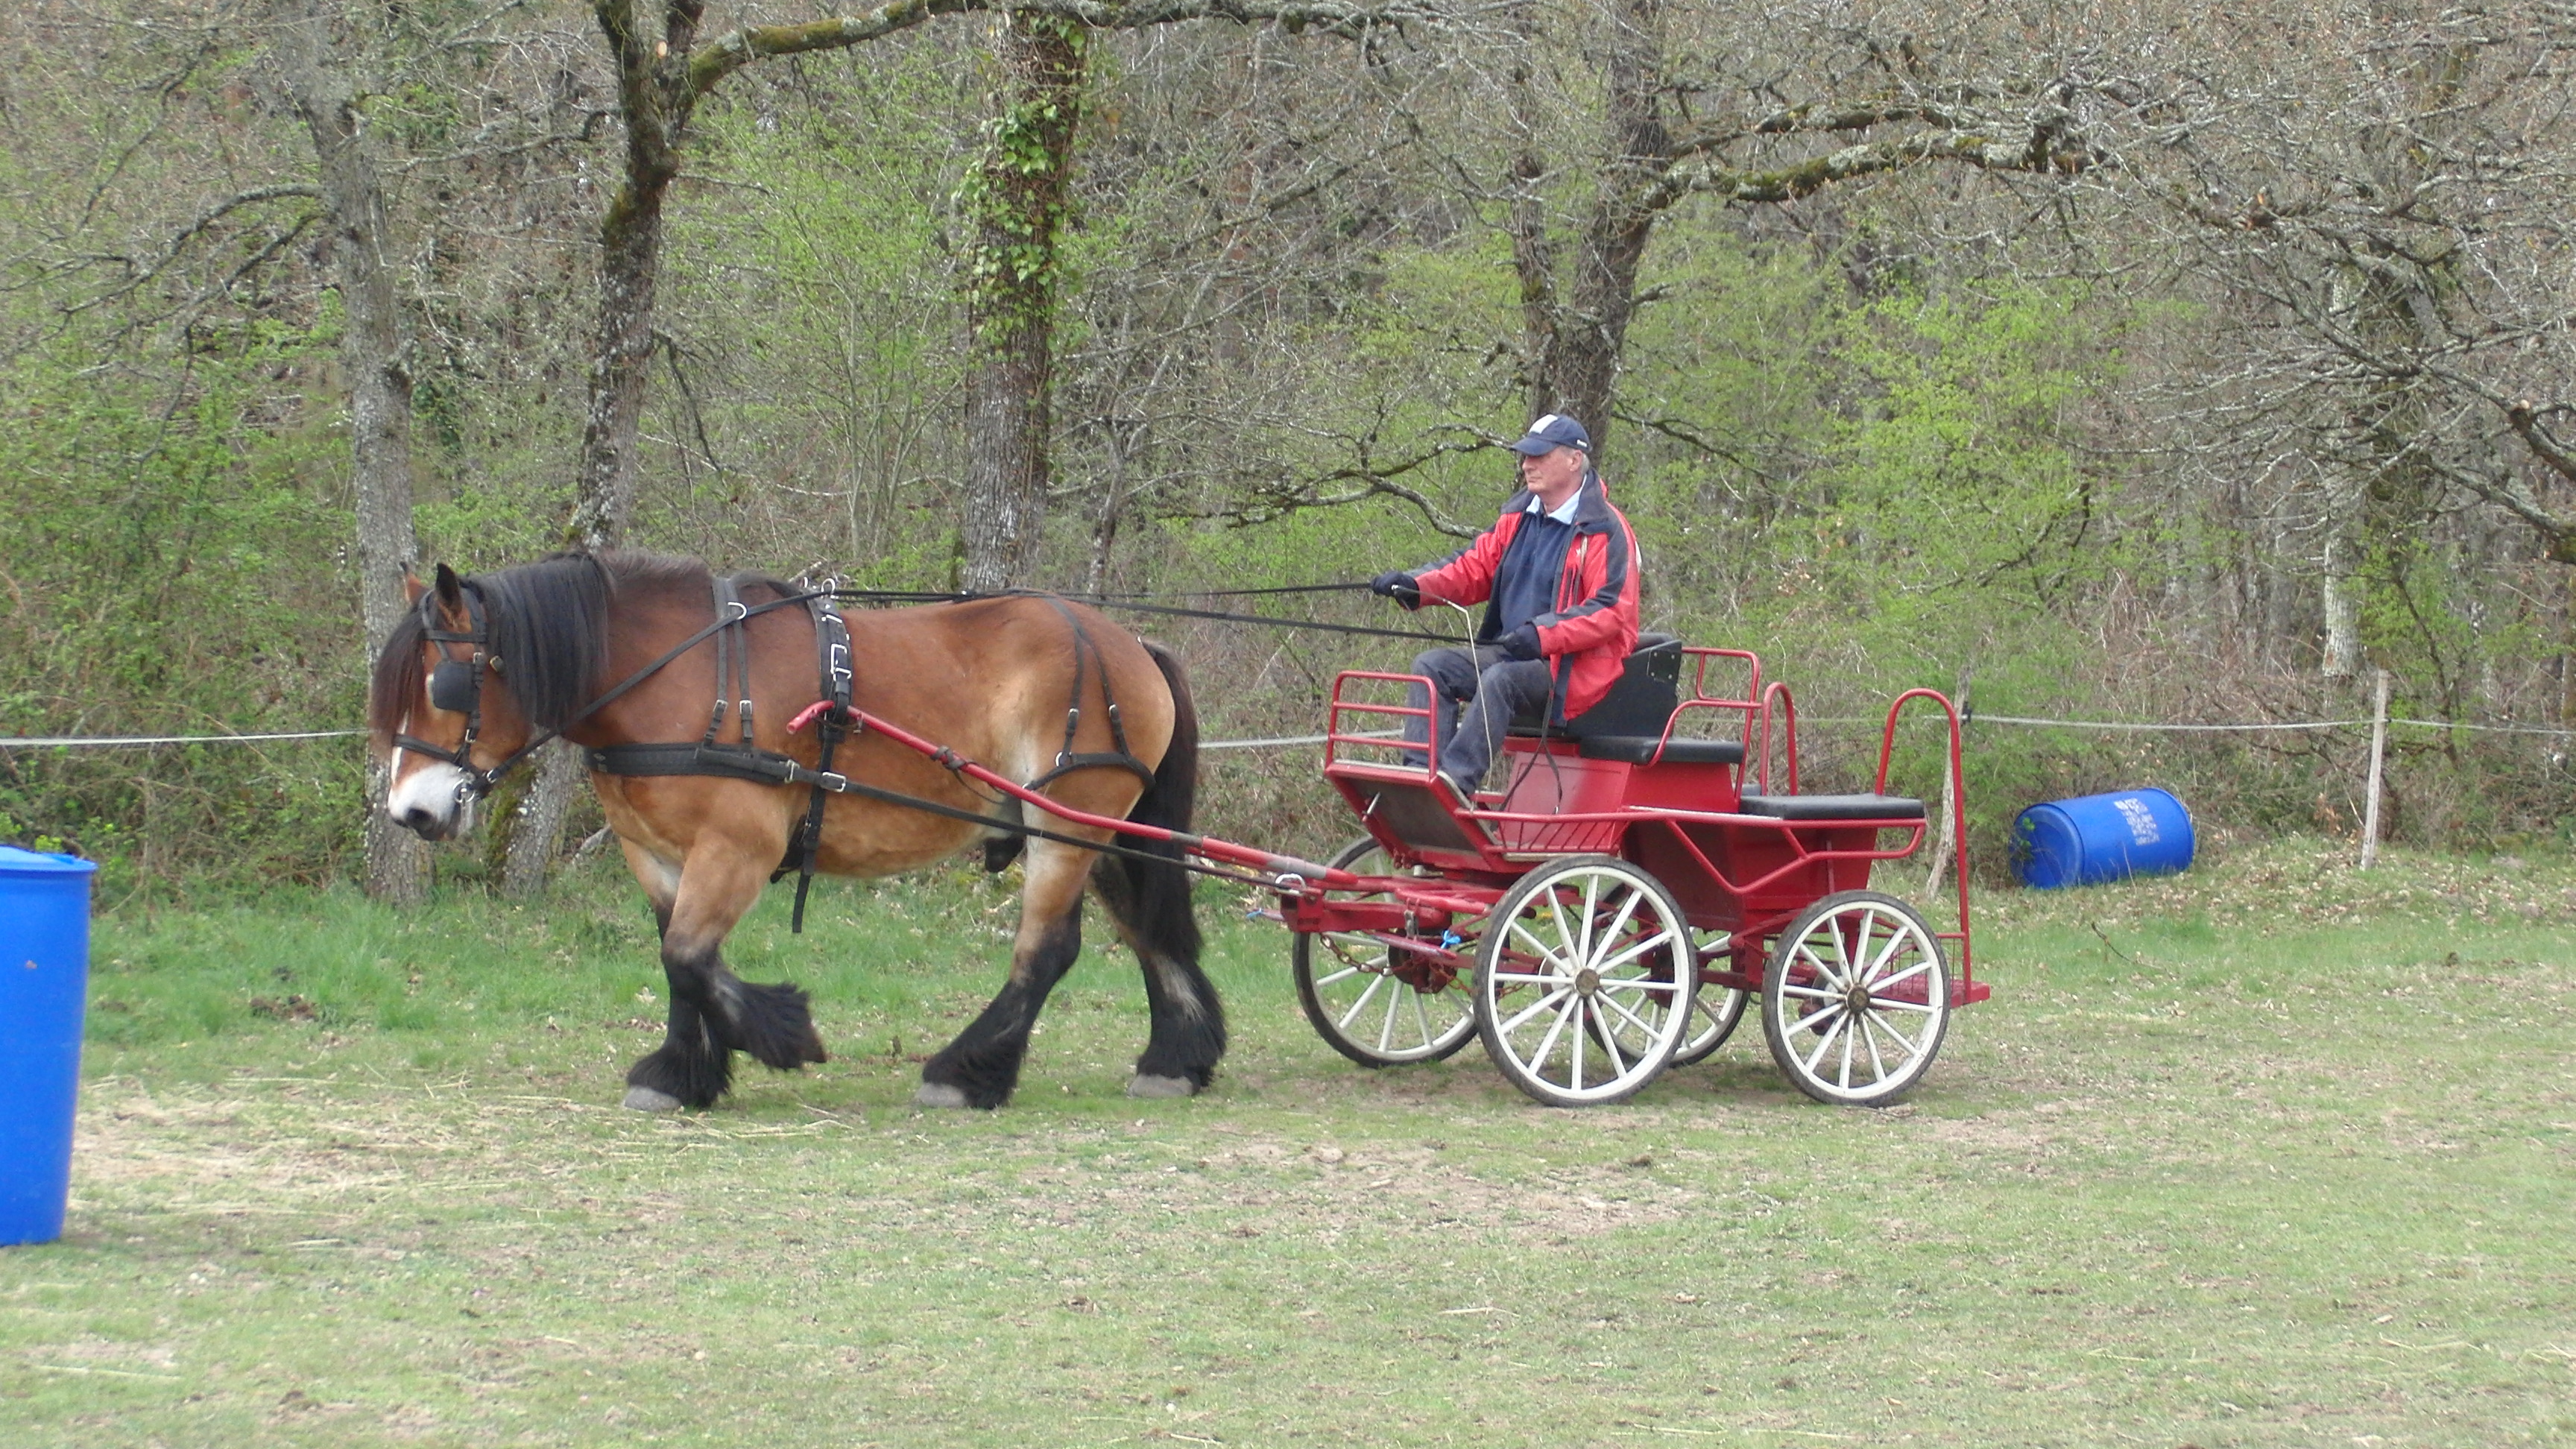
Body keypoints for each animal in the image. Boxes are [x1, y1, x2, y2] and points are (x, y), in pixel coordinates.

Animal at [363, 549, 1226, 1103]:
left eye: (443, 685)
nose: (411, 812)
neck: (679, 679)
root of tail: (1127, 642)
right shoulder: (656, 853)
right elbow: (680, 960)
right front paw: (684, 1073)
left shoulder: (739, 847)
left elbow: (688, 955)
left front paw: (785, 1034)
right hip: (1097, 828)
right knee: (1148, 931)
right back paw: (1175, 1060)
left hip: (1065, 821)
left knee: (1047, 950)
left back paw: (963, 1071)